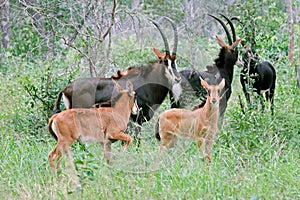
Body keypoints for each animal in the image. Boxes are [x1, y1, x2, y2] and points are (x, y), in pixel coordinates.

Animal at [52, 18, 182, 145]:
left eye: (175, 61)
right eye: (165, 61)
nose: (177, 78)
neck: (146, 82)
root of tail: (66, 88)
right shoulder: (134, 120)